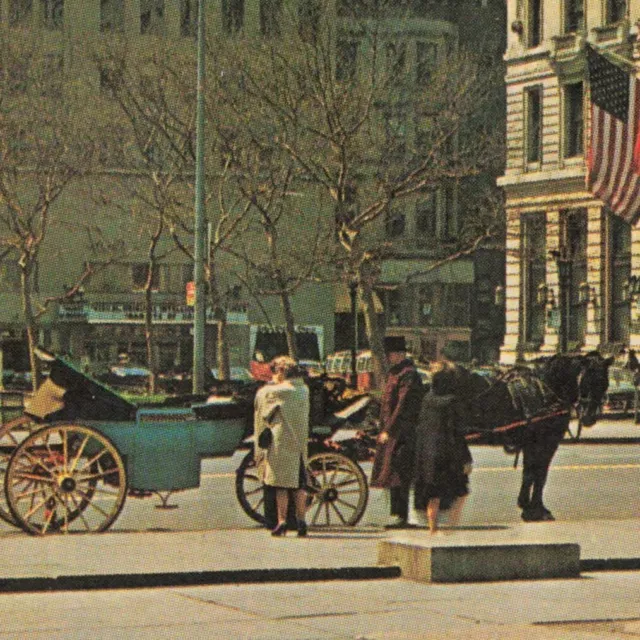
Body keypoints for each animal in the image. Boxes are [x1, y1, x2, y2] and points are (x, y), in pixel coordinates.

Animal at [448, 352, 612, 524]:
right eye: (586, 380)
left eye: (604, 382)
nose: (589, 417)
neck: (546, 390)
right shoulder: (543, 442)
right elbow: (538, 474)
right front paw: (535, 510)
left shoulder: (531, 443)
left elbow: (530, 473)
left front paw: (527, 505)